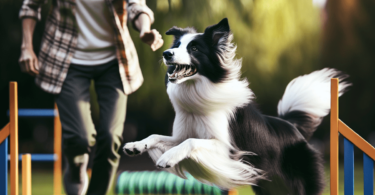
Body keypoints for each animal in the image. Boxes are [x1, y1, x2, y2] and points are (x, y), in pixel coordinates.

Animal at [124, 18, 352, 195]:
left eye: (194, 48)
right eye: (177, 44)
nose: (166, 53)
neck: (196, 90)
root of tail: (293, 127)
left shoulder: (228, 149)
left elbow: (191, 142)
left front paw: (167, 158)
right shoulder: (180, 136)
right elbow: (158, 136)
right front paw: (135, 145)